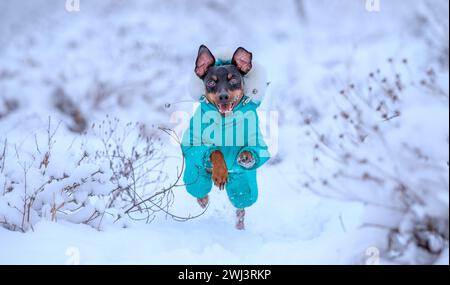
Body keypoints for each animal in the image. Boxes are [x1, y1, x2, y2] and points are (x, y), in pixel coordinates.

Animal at [180, 45, 268, 230]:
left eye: (233, 79)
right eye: (211, 82)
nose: (223, 96)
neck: (225, 121)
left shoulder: (257, 141)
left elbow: (254, 150)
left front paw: (246, 157)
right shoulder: (192, 143)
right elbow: (215, 151)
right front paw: (220, 172)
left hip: (243, 185)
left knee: (241, 205)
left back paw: (240, 227)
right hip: (195, 173)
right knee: (199, 188)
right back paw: (203, 199)